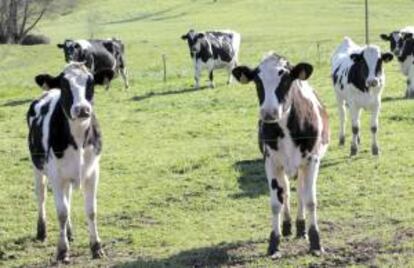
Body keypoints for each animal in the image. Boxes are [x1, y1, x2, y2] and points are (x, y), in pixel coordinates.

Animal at [27, 62, 114, 262]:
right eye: (64, 85)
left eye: (91, 83)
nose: (82, 109)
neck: (78, 139)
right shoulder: (55, 175)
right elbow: (61, 212)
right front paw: (62, 250)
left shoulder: (92, 172)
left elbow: (91, 210)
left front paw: (96, 247)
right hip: (38, 167)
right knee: (41, 195)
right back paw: (42, 231)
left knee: (68, 197)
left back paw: (69, 232)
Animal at [233, 53, 330, 258]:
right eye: (257, 81)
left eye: (286, 80)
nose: (269, 112)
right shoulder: (271, 162)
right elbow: (276, 202)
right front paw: (274, 244)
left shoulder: (312, 161)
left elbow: (310, 200)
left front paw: (315, 242)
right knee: (285, 191)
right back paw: (287, 226)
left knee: (300, 192)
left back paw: (301, 228)